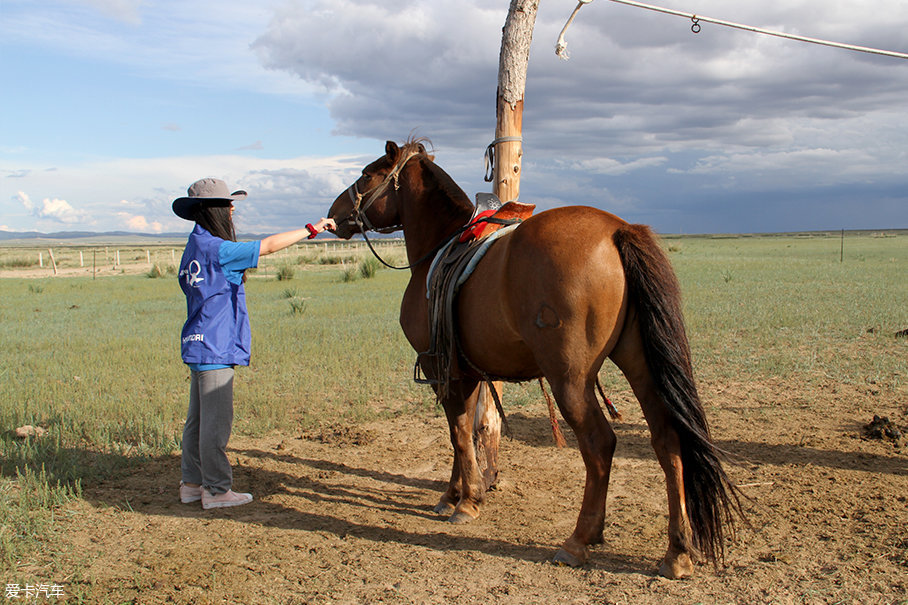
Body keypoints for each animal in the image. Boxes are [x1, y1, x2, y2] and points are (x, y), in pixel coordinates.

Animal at [330, 139, 740, 580]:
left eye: (367, 174)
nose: (335, 214)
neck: (438, 250)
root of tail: (618, 230)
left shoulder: (442, 370)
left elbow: (459, 433)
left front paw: (466, 501)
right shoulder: (466, 372)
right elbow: (464, 433)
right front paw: (454, 494)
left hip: (570, 379)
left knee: (600, 445)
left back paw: (578, 541)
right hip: (641, 365)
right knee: (668, 441)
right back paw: (676, 552)